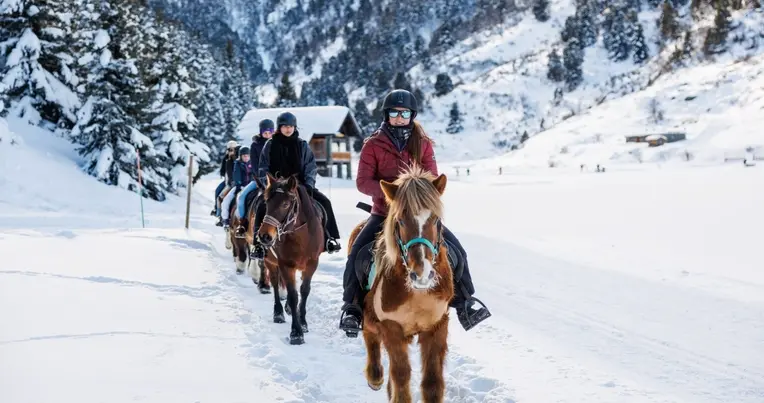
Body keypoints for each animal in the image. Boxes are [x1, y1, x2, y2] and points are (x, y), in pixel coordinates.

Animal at [255, 172, 324, 346]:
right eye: (267, 202)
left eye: (286, 204)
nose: (264, 236)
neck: (299, 234)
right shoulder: (285, 264)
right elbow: (293, 295)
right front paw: (296, 333)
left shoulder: (312, 263)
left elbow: (304, 291)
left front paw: (303, 322)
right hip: (271, 262)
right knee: (274, 282)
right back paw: (279, 312)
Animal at [350, 165, 456, 403]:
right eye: (400, 220)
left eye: (436, 220)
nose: (422, 273)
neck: (417, 294)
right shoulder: (391, 327)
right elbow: (401, 375)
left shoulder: (437, 326)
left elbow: (432, 383)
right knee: (371, 342)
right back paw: (375, 376)